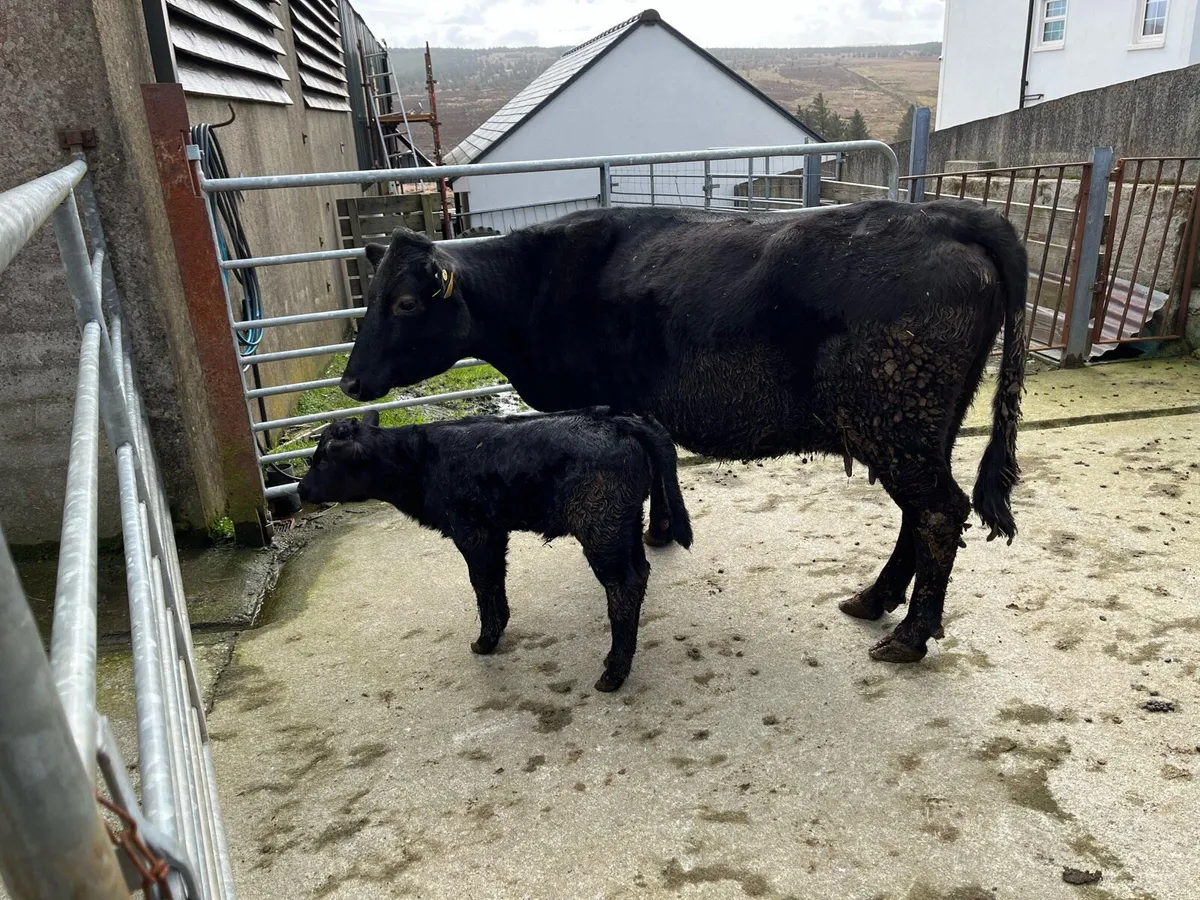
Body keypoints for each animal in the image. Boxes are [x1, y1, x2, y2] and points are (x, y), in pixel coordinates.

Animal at [297, 406, 693, 692]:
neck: (420, 462)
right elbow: (496, 579)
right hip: (623, 524)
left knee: (622, 586)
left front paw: (486, 640)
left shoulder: (472, 530)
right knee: (640, 573)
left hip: (602, 525)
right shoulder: (495, 530)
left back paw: (613, 673)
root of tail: (619, 419)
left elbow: (482, 582)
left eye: (321, 460)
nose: (300, 490)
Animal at [340, 200, 1027, 664]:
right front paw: (663, 529)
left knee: (939, 511)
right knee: (923, 513)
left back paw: (909, 635)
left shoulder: (603, 405)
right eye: (371, 298)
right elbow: (660, 460)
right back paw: (874, 599)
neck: (537, 286)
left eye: (404, 303)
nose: (349, 381)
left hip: (895, 418)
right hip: (920, 428)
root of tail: (944, 214)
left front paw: (652, 534)